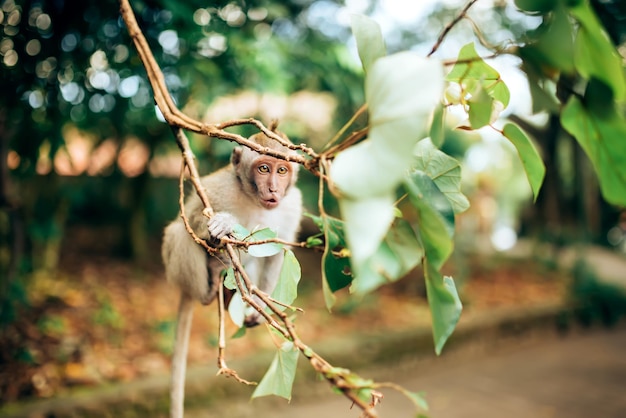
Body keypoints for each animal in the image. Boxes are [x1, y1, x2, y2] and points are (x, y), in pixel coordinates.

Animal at [158, 127, 300, 418]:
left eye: (282, 170)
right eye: (264, 168)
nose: (273, 188)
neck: (254, 200)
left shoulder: (292, 206)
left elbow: (278, 252)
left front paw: (259, 305)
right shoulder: (218, 189)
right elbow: (192, 220)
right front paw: (225, 224)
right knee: (179, 233)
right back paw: (209, 287)